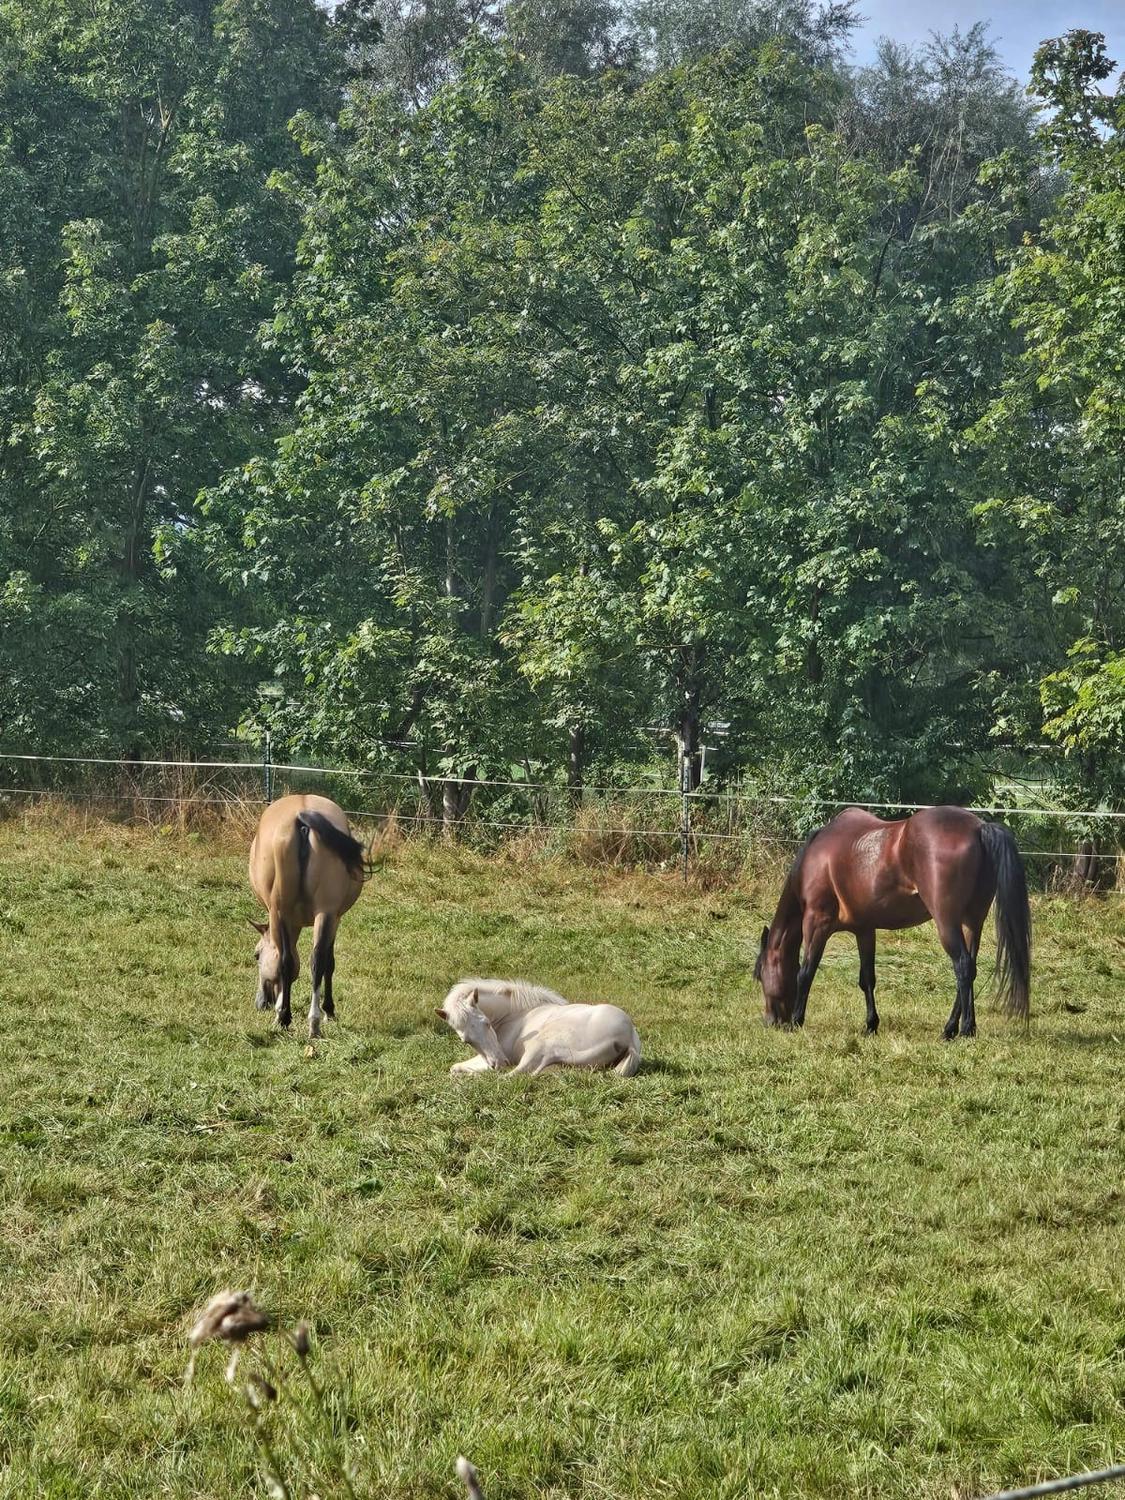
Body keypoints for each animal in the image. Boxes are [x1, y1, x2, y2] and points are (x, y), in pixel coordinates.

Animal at [248, 794, 368, 1039]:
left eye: (256, 955)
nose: (261, 1003)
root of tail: (302, 818)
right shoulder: (333, 917)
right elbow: (326, 963)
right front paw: (327, 1011)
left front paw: (281, 1010)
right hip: (324, 914)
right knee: (317, 962)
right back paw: (314, 1023)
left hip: (281, 912)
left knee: (287, 961)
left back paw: (285, 1018)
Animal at [436, 978, 641, 1076]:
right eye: (466, 1040)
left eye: (486, 1023)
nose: (499, 1063)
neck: (513, 1015)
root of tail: (628, 1036)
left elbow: (456, 1068)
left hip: (541, 1046)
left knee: (516, 1074)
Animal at [753, 805, 1031, 1039]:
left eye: (760, 975)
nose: (770, 1021)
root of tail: (979, 828)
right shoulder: (864, 929)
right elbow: (867, 978)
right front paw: (870, 1025)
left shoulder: (816, 922)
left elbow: (805, 972)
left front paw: (797, 1021)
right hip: (972, 922)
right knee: (970, 967)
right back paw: (959, 1028)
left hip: (947, 923)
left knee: (962, 966)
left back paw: (958, 1029)